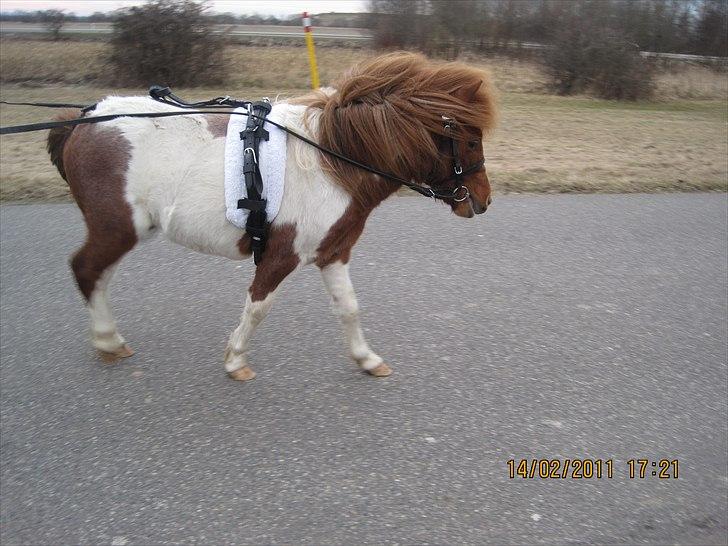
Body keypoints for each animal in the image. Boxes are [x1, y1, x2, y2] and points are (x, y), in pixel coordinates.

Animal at [46, 52, 497, 382]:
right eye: (471, 140)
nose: (483, 200)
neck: (332, 161)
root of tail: (85, 119)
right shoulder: (282, 255)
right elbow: (258, 306)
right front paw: (235, 360)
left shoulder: (333, 253)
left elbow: (348, 307)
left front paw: (366, 358)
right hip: (117, 228)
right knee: (86, 269)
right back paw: (107, 340)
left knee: (97, 275)